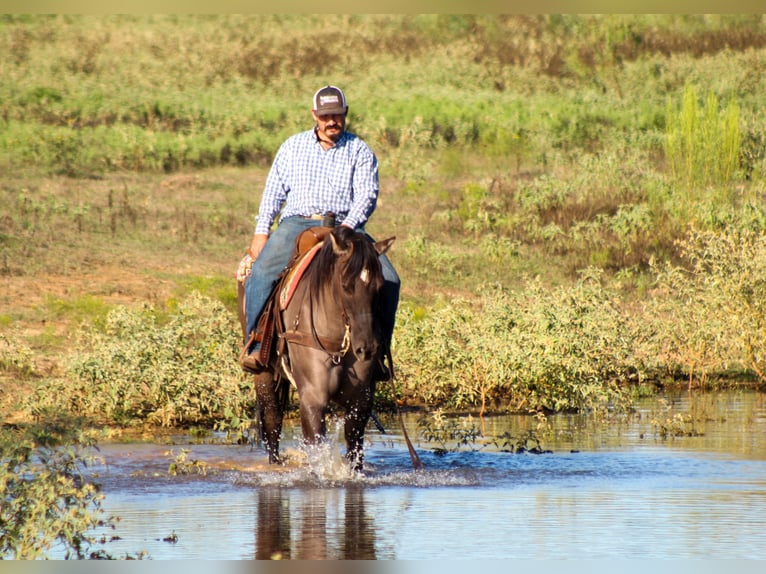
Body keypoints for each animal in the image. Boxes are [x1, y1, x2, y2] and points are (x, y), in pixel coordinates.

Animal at [238, 226, 394, 471]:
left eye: (379, 287)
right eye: (345, 286)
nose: (367, 348)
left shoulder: (361, 398)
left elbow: (354, 447)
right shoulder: (313, 396)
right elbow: (317, 448)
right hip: (263, 373)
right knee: (272, 419)